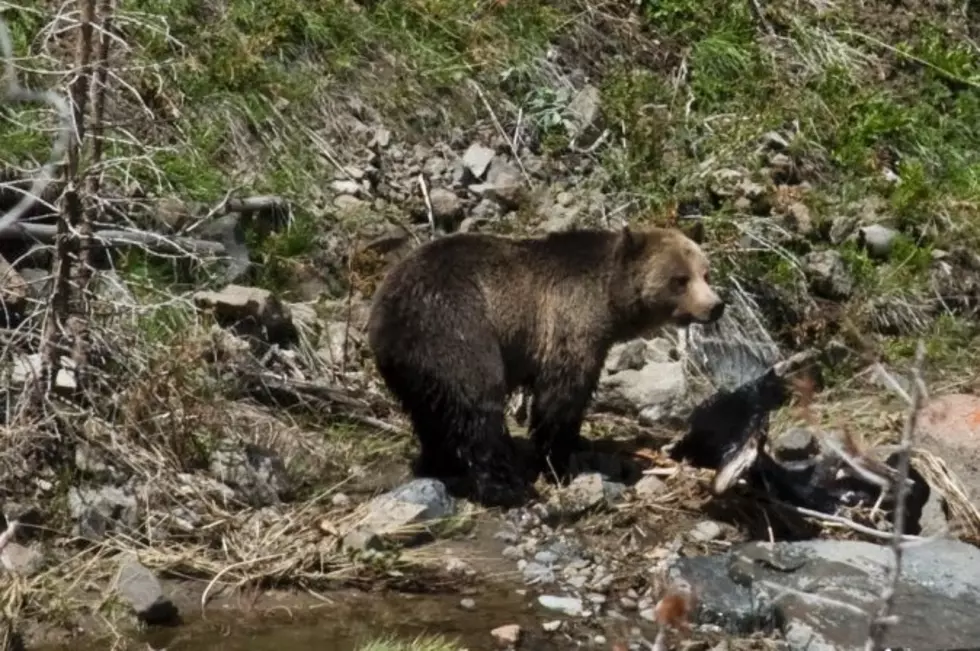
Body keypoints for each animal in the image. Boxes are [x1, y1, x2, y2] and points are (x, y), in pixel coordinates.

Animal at [366, 225, 726, 508]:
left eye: (705, 273)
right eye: (680, 279)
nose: (716, 306)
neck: (609, 301)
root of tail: (389, 310)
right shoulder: (568, 320)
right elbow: (562, 394)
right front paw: (560, 462)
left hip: (411, 366)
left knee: (431, 412)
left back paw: (438, 463)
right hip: (455, 328)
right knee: (477, 409)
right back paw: (507, 488)